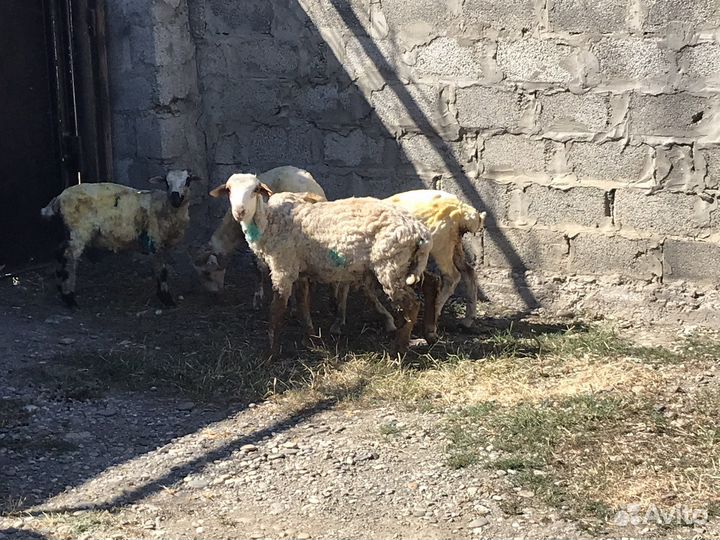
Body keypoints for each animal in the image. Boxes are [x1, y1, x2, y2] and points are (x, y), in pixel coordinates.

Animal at [40, 170, 199, 307]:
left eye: (188, 180)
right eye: (166, 182)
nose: (175, 197)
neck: (164, 206)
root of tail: (59, 197)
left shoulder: (162, 244)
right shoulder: (155, 240)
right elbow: (162, 271)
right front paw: (167, 299)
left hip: (69, 231)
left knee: (59, 253)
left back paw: (61, 289)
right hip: (79, 229)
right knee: (69, 257)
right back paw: (69, 298)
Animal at [209, 174, 434, 355]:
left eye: (256, 190)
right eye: (229, 189)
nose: (239, 211)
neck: (269, 222)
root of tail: (419, 231)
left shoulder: (283, 268)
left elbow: (277, 309)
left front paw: (271, 353)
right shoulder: (299, 271)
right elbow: (302, 305)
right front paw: (311, 338)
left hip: (390, 266)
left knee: (412, 305)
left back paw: (399, 349)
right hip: (405, 265)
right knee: (427, 288)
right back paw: (421, 335)